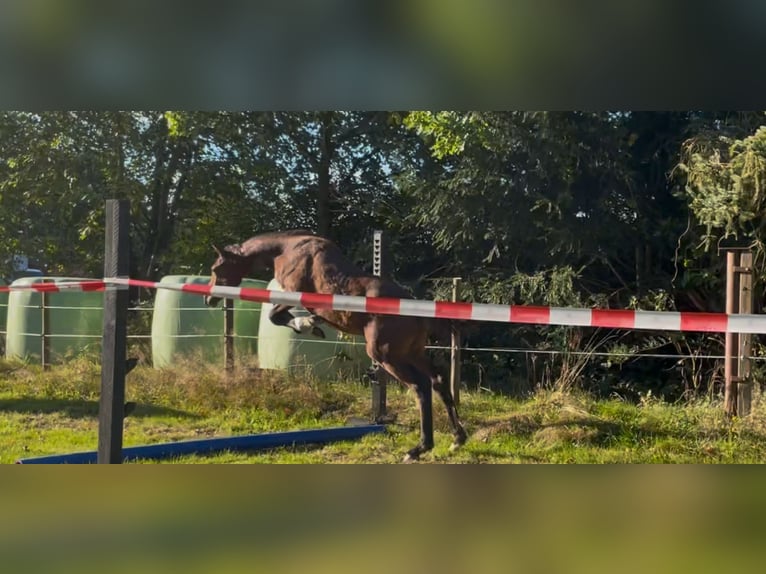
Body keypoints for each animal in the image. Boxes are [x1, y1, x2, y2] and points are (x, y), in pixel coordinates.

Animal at [204, 232, 468, 462]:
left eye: (216, 268)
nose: (209, 299)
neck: (286, 248)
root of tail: (416, 312)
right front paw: (313, 323)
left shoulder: (292, 293)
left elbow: (274, 316)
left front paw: (306, 324)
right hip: (412, 352)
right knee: (438, 381)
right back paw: (457, 439)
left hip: (386, 355)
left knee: (420, 386)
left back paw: (419, 448)